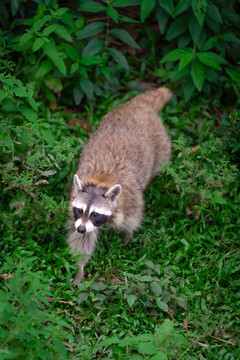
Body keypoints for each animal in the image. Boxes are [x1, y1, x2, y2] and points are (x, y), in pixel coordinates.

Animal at [67, 87, 172, 284]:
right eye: (79, 210)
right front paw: (80, 267)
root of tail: (138, 104)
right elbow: (82, 241)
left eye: (95, 214)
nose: (81, 228)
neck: (100, 182)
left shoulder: (130, 198)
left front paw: (129, 233)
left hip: (162, 145)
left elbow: (132, 218)